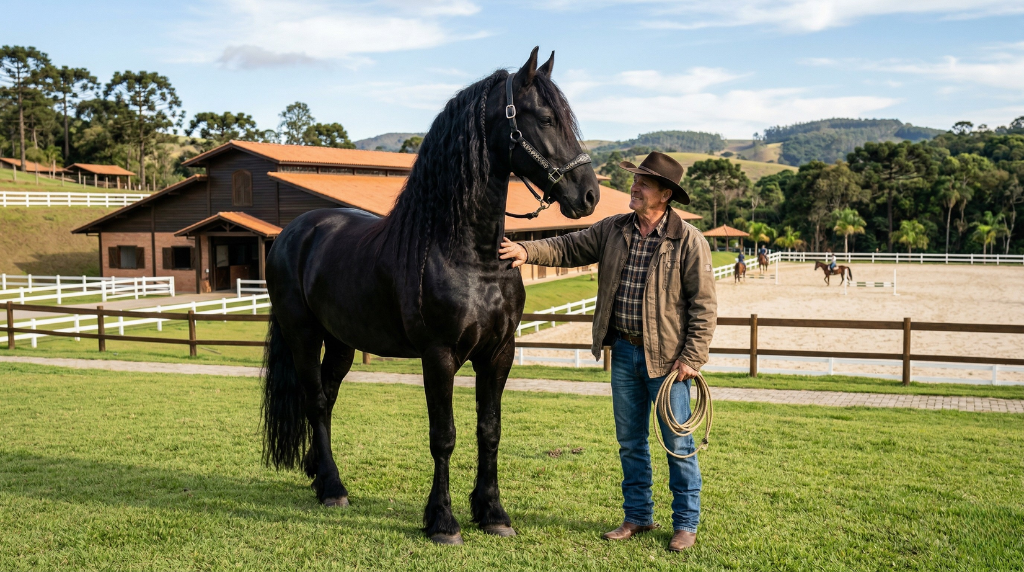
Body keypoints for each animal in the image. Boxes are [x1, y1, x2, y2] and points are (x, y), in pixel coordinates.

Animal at [260, 48, 598, 545]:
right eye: (545, 118)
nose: (589, 195)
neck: (467, 254)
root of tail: (292, 232)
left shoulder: (499, 352)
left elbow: (489, 431)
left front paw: (493, 513)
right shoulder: (438, 356)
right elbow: (444, 436)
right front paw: (443, 521)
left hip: (341, 342)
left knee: (326, 397)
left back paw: (320, 476)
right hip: (303, 334)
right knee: (316, 400)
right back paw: (334, 488)